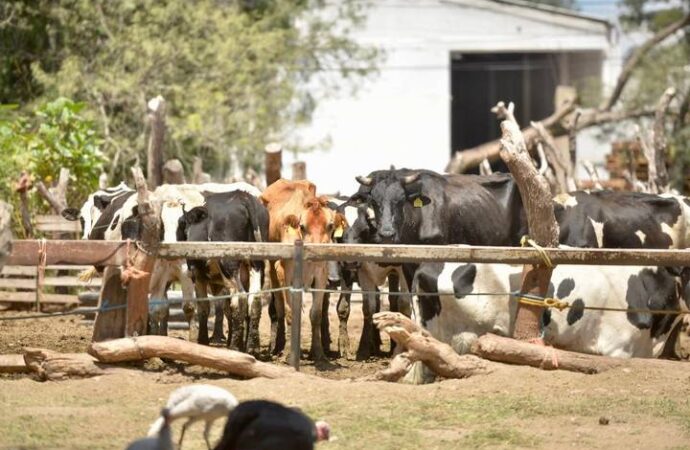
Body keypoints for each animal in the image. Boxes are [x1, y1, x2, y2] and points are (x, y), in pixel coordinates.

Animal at [175, 190, 268, 352]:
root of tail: (243, 196)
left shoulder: (198, 275)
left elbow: (204, 307)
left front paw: (203, 340)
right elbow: (225, 309)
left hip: (229, 266)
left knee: (240, 297)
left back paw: (235, 346)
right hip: (256, 265)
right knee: (254, 299)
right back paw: (252, 347)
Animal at [260, 178, 338, 362]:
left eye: (330, 225)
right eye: (302, 226)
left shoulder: (321, 275)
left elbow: (315, 314)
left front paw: (318, 352)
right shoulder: (284, 273)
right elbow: (290, 312)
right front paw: (290, 353)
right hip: (273, 270)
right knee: (280, 308)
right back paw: (279, 346)